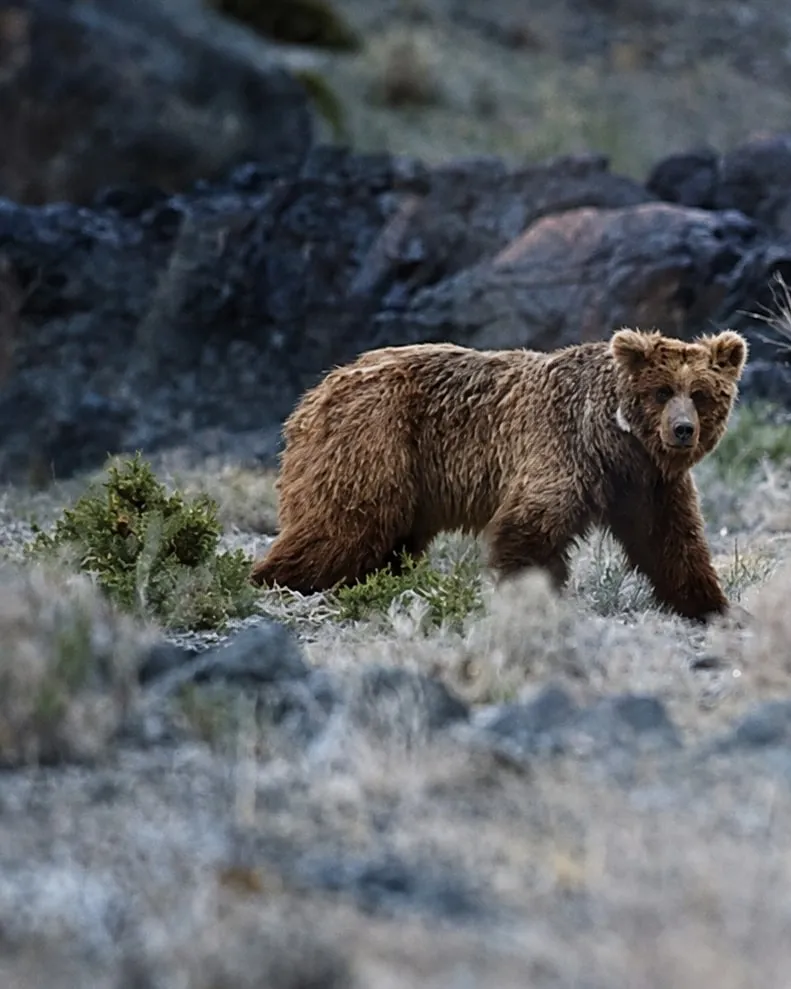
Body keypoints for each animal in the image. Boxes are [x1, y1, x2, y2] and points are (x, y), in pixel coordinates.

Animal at [250, 327, 748, 622]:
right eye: (662, 390)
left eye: (700, 394)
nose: (682, 430)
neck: (616, 441)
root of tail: (316, 393)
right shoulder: (562, 452)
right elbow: (528, 533)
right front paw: (533, 600)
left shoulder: (648, 484)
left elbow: (672, 541)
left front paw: (710, 604)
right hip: (376, 439)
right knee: (342, 524)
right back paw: (275, 578)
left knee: (390, 539)